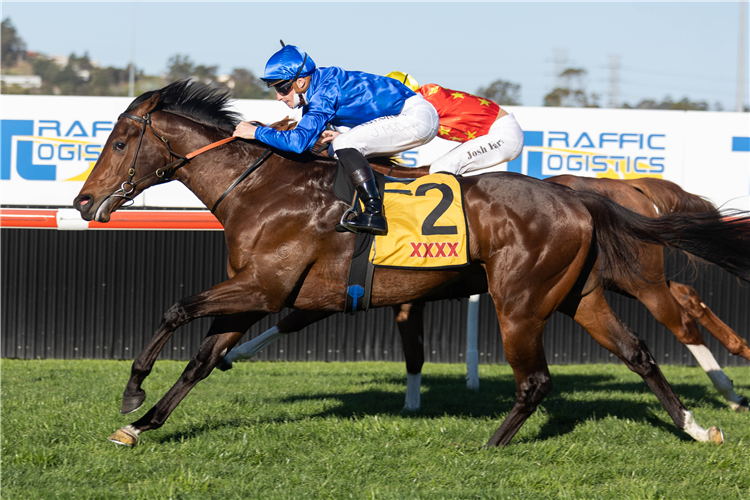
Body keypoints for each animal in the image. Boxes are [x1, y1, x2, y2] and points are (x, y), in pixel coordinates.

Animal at [220, 174, 748, 412]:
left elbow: (295, 316)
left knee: (679, 320)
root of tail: (631, 187)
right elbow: (297, 318)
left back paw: (728, 390)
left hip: (636, 278)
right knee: (686, 296)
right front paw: (232, 352)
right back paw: (735, 364)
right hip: (613, 279)